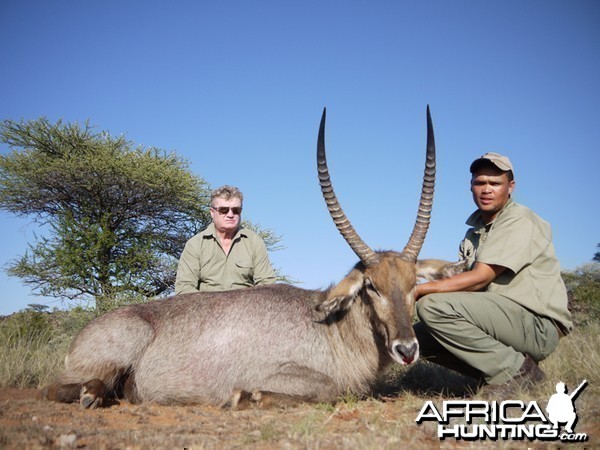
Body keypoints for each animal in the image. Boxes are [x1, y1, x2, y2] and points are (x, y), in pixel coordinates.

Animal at [42, 107, 462, 410]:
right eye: (370, 286)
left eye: (413, 284)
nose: (407, 350)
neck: (333, 328)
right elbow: (329, 389)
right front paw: (247, 396)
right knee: (55, 388)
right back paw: (91, 395)